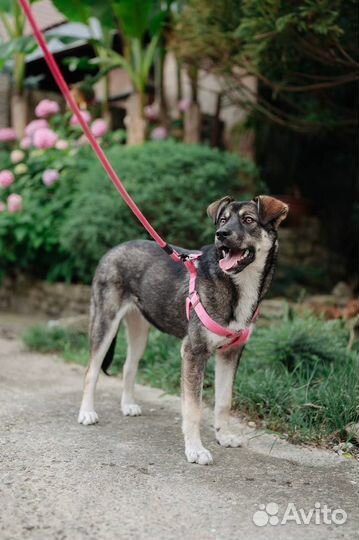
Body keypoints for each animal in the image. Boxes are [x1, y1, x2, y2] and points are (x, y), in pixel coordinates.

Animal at [77, 194, 288, 464]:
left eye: (249, 220)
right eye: (223, 220)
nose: (221, 234)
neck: (238, 284)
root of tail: (113, 250)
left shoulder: (231, 353)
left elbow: (224, 401)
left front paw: (223, 436)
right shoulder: (193, 352)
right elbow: (193, 408)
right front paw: (195, 450)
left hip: (139, 330)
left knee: (128, 366)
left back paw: (128, 405)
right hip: (105, 321)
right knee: (91, 370)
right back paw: (87, 413)